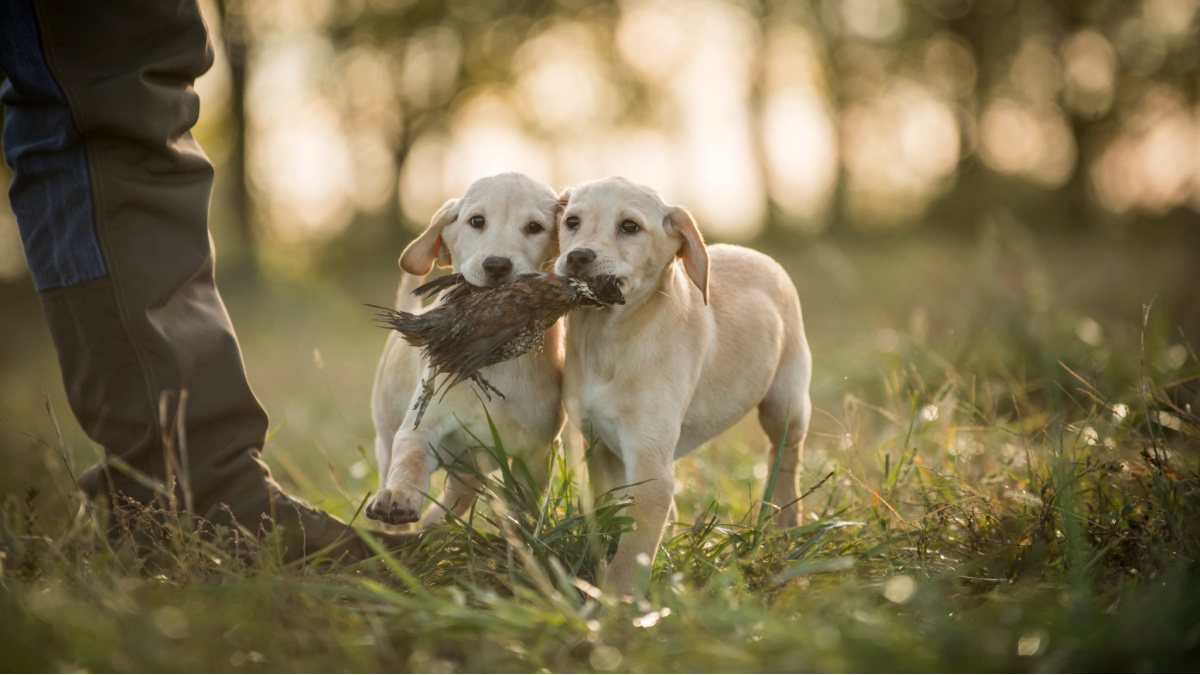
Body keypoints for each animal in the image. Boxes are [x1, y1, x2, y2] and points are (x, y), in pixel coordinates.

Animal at [364, 171, 566, 526]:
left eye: (535, 227)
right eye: (476, 221)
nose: (497, 266)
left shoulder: (539, 451)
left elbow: (525, 499)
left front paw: (521, 531)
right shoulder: (419, 429)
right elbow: (410, 462)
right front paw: (398, 495)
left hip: (471, 468)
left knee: (455, 501)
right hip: (387, 434)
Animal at [554, 176, 816, 590]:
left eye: (629, 226)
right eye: (572, 222)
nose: (578, 257)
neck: (608, 340)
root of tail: (757, 255)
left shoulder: (651, 468)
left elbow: (631, 552)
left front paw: (614, 599)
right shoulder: (602, 446)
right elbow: (614, 514)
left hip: (786, 402)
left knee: (785, 457)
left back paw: (783, 524)